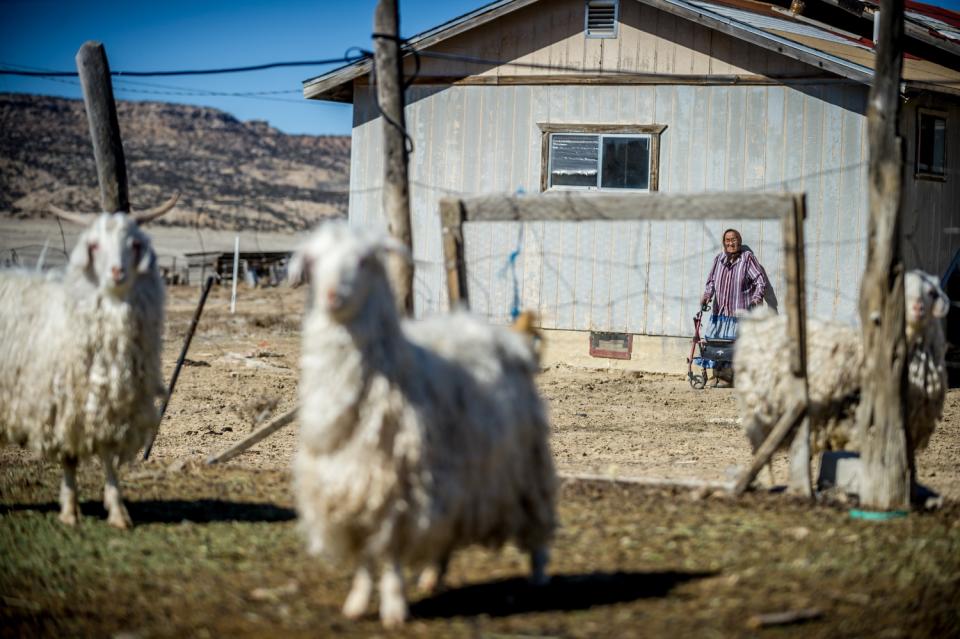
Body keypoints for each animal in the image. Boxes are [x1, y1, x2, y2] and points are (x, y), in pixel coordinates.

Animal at [288, 225, 556, 632]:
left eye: (363, 261)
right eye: (314, 262)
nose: (333, 296)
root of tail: (510, 339)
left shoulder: (399, 493)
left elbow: (389, 557)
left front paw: (394, 609)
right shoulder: (352, 494)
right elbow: (365, 560)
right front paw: (357, 604)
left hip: (525, 468)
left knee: (536, 525)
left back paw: (539, 576)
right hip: (461, 483)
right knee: (447, 534)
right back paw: (432, 575)